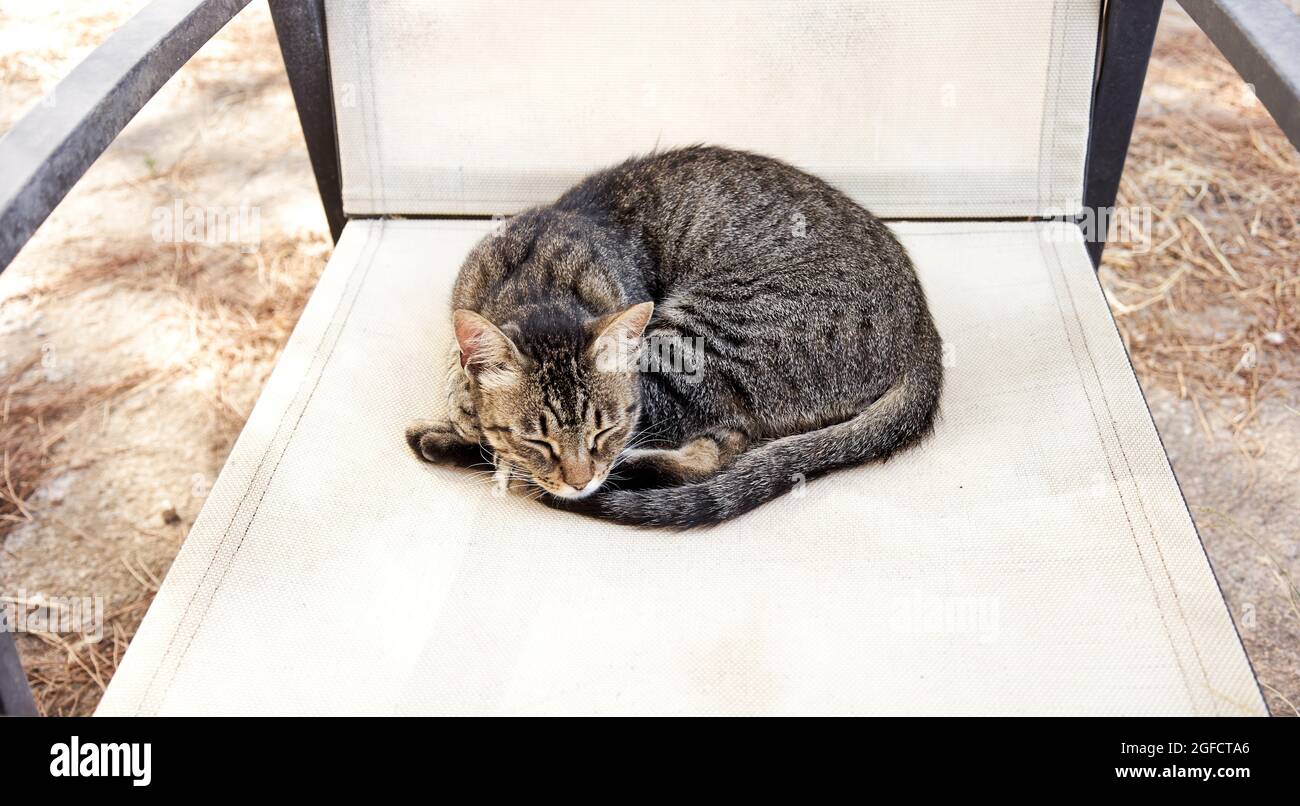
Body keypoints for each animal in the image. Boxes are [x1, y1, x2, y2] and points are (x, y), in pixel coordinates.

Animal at [400, 146, 941, 527]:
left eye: (601, 431)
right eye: (538, 437)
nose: (578, 480)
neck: (536, 279)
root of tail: (924, 332)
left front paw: (471, 427)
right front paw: (463, 397)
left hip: (698, 340)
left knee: (711, 451)